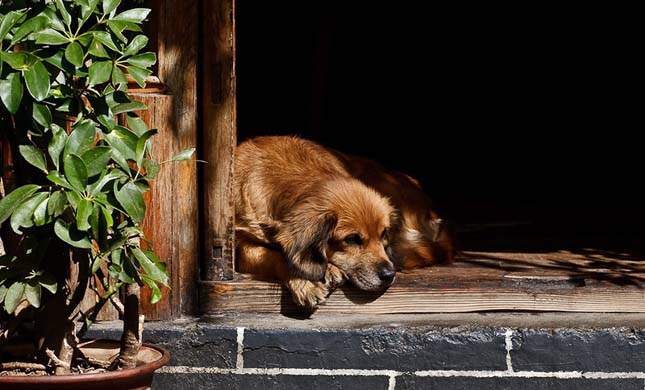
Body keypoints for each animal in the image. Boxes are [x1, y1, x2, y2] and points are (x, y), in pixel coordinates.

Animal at [233, 136, 452, 306]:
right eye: (352, 239)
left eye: (383, 235)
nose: (389, 275)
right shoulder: (241, 245)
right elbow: (275, 256)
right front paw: (307, 280)